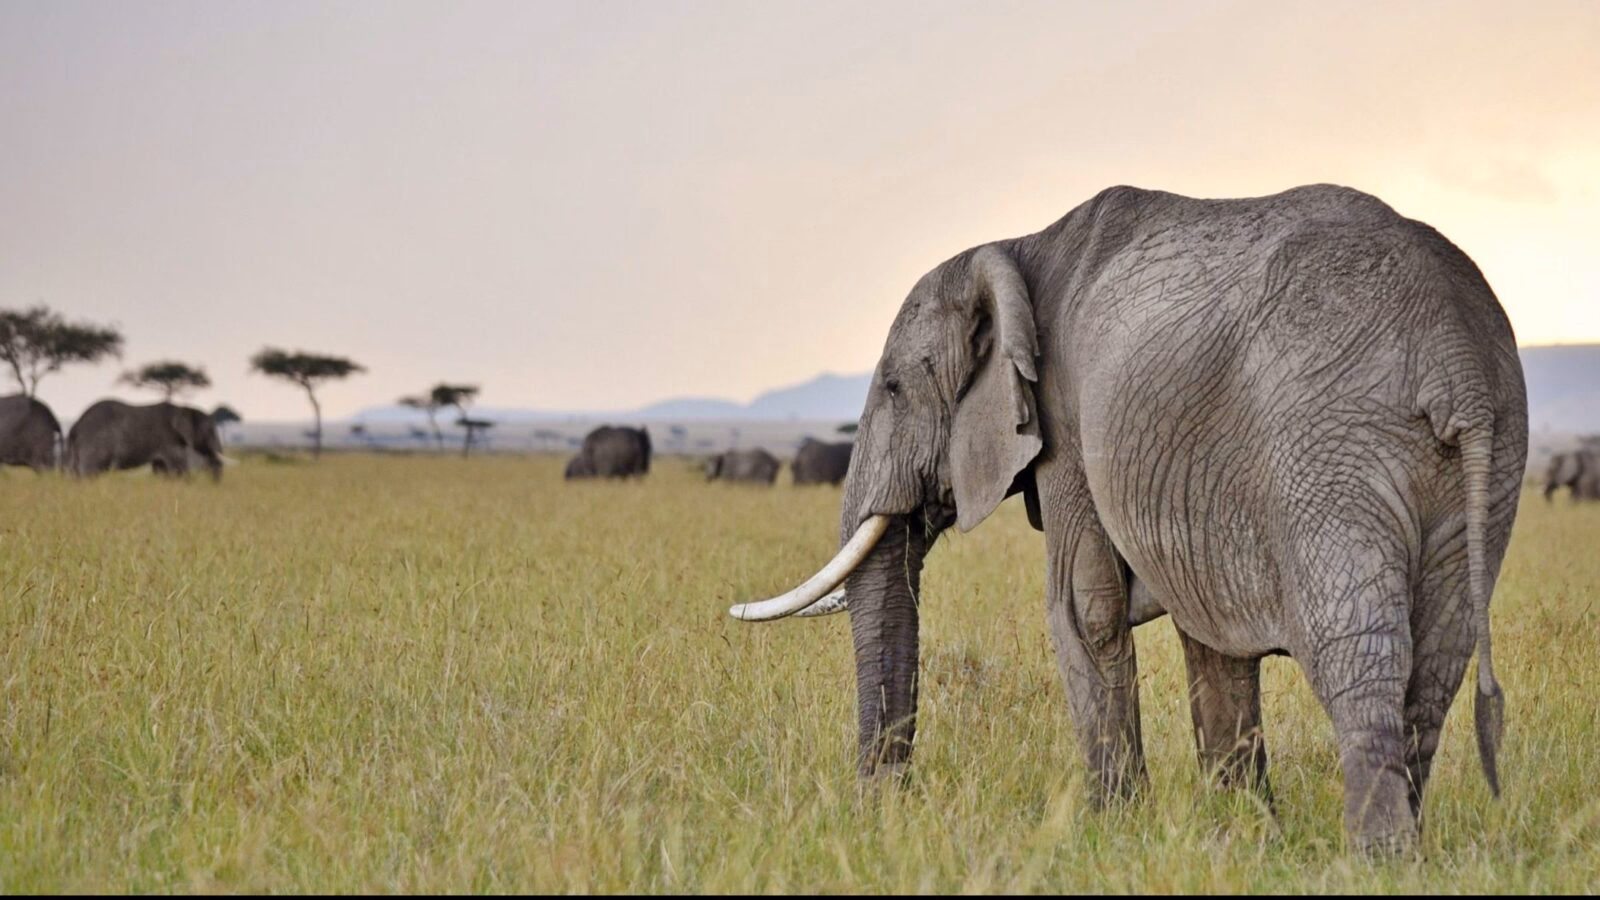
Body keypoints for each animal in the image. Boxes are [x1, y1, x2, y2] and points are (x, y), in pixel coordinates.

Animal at [66, 399, 225, 481]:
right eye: (210, 431)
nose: (214, 485)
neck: (183, 408)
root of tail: (76, 425)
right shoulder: (168, 439)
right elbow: (178, 467)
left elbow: (161, 468)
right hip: (94, 445)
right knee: (90, 471)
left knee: (76, 472)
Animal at [728, 184, 1527, 854]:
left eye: (894, 387)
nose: (884, 813)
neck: (1018, 246)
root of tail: (1453, 356)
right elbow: (1209, 630)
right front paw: (1241, 841)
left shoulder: (1070, 420)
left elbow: (1083, 611)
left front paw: (1108, 834)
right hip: (1486, 462)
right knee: (1438, 658)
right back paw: (1405, 846)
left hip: (1331, 443)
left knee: (1357, 649)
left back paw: (1377, 860)